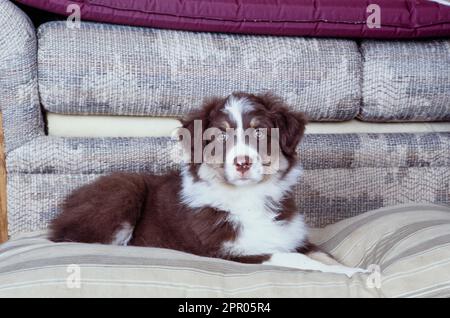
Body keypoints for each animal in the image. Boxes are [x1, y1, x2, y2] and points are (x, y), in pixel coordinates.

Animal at [49, 91, 366, 276]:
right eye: (221, 136)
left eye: (260, 132)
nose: (242, 163)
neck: (248, 197)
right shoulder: (226, 252)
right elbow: (294, 259)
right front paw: (348, 275)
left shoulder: (295, 238)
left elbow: (326, 256)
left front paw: (360, 272)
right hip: (124, 187)